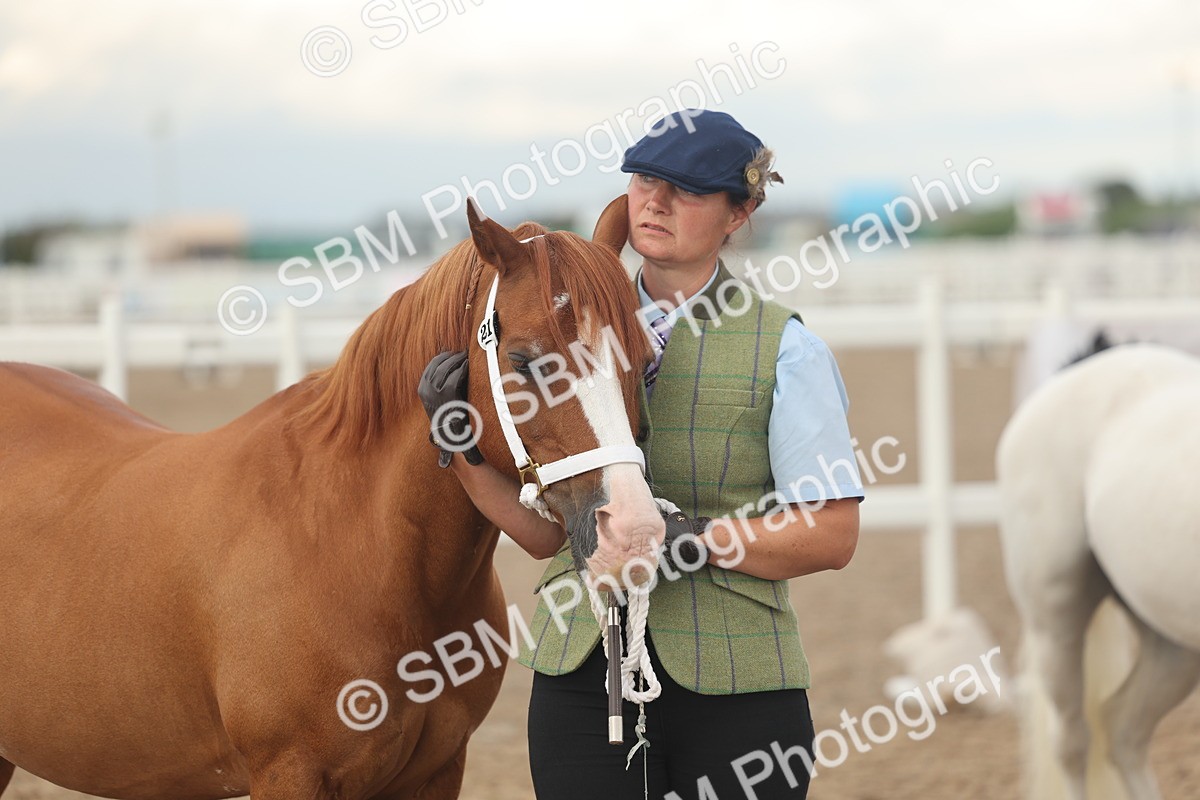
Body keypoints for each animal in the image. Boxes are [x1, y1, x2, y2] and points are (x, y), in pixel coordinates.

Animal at [0, 195, 663, 799]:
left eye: (642, 357)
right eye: (525, 361)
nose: (633, 529)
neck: (353, 543)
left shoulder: (436, 772)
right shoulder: (289, 774)